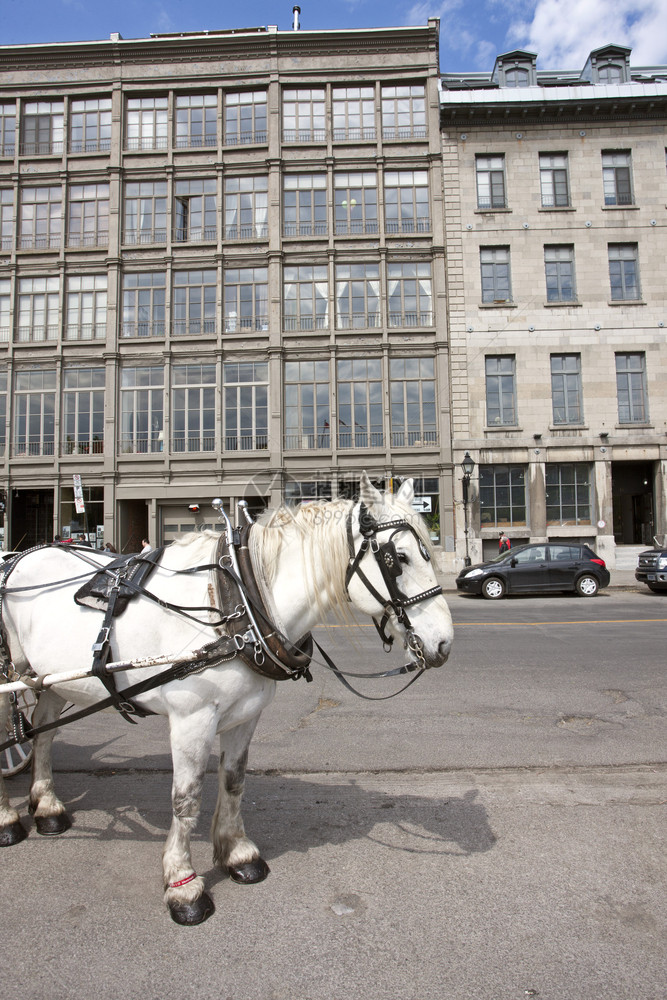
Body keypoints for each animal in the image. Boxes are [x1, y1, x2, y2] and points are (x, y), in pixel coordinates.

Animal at [0, 474, 454, 920]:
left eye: (429, 552)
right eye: (398, 558)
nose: (445, 644)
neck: (237, 604)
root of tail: (20, 555)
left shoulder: (245, 715)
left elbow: (233, 781)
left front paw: (236, 853)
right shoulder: (191, 719)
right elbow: (186, 799)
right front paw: (183, 884)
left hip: (47, 679)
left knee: (43, 732)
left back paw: (48, 806)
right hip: (13, 676)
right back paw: (7, 819)